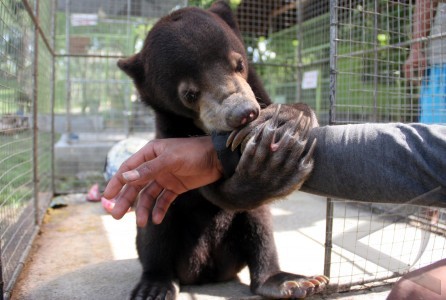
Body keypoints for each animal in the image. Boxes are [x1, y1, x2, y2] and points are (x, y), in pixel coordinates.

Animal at [117, 1, 328, 298]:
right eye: (189, 94)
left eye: (238, 64)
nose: (243, 113)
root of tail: (206, 271)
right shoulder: (168, 132)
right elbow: (206, 187)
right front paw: (266, 169)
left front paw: (289, 119)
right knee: (155, 225)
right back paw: (155, 284)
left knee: (260, 226)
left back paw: (288, 281)